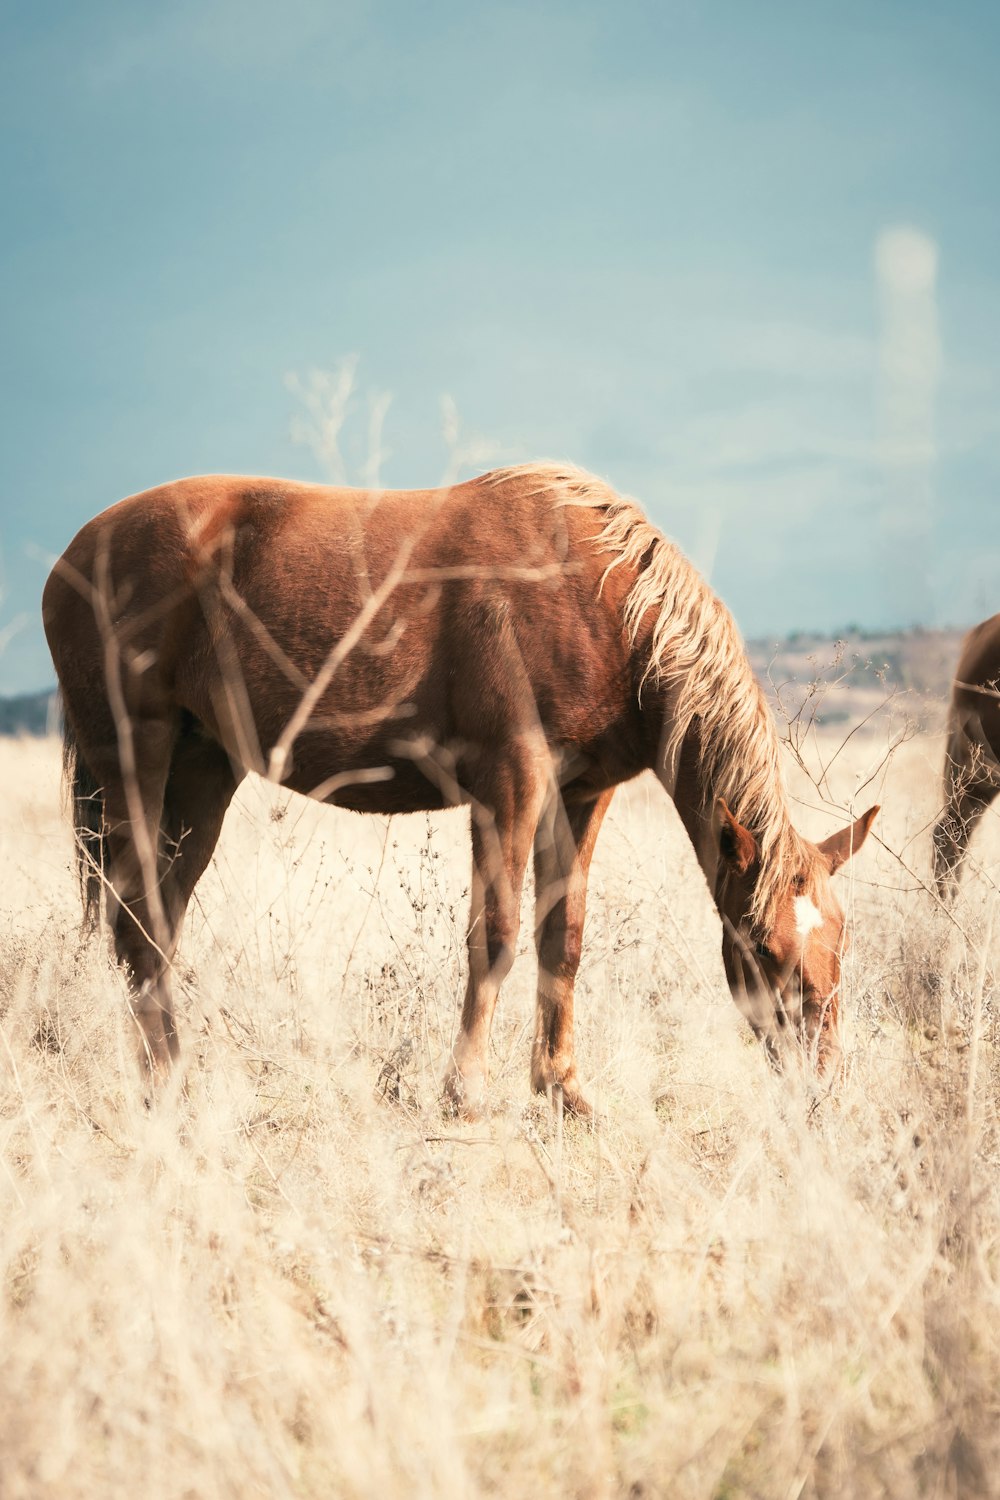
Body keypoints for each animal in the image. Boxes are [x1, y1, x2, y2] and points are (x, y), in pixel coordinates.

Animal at [43, 465, 875, 1116]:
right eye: (763, 947)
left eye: (839, 940)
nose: (822, 1085)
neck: (599, 600)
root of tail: (73, 556)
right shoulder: (509, 785)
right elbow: (496, 935)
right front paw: (466, 1090)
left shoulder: (580, 797)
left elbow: (562, 939)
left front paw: (563, 1090)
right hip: (137, 758)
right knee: (133, 922)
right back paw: (163, 1084)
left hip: (203, 773)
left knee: (156, 925)